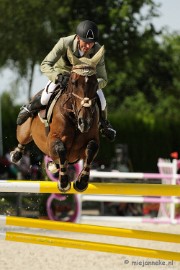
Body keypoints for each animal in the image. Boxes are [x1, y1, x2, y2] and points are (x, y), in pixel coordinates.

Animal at [10, 46, 105, 192]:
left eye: (95, 84)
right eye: (73, 82)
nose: (84, 123)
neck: (74, 118)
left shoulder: (90, 141)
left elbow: (92, 147)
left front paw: (81, 182)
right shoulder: (52, 140)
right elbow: (60, 149)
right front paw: (64, 182)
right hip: (25, 131)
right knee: (22, 139)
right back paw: (16, 153)